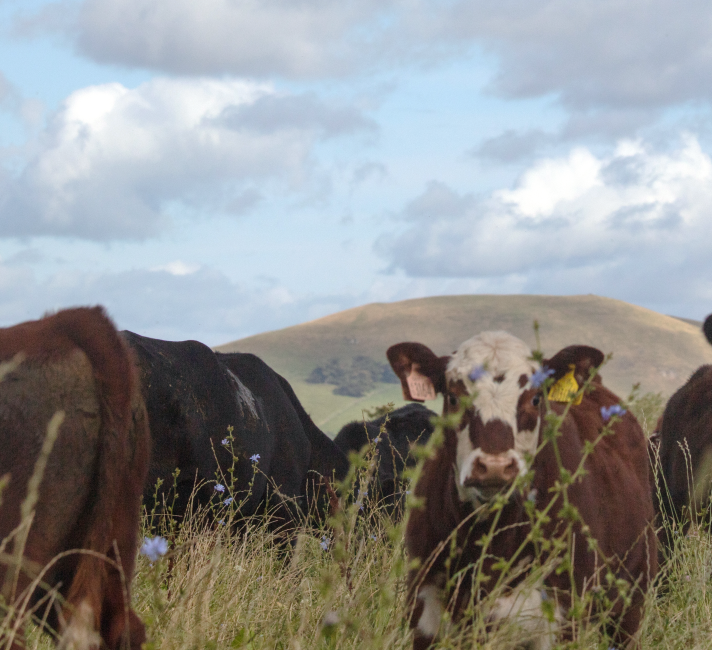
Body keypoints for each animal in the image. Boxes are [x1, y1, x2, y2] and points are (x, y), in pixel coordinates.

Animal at [390, 332, 656, 644]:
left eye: (536, 398)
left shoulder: (561, 618)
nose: (494, 466)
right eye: (454, 397)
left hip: (629, 607)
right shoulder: (424, 612)